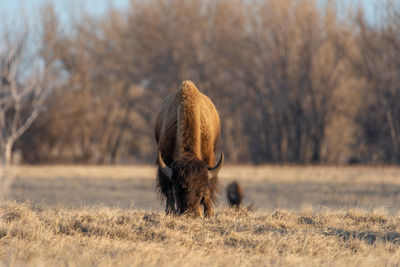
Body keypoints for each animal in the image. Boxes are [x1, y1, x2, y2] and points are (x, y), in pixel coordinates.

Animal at [155, 80, 223, 217]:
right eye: (177, 187)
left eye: (200, 189)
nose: (190, 213)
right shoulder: (164, 159)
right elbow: (168, 190)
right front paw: (170, 212)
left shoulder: (209, 158)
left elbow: (208, 190)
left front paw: (209, 213)